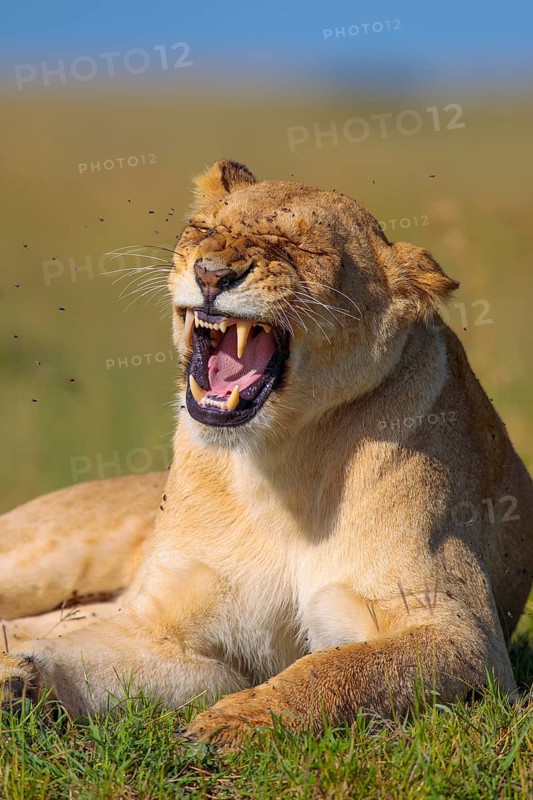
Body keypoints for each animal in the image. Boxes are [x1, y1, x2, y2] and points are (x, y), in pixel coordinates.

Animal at [1, 160, 532, 746]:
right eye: (203, 228)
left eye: (303, 247)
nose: (211, 274)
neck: (278, 461)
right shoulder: (167, 629)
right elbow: (77, 658)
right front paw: (18, 680)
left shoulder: (461, 631)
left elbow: (334, 667)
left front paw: (235, 721)